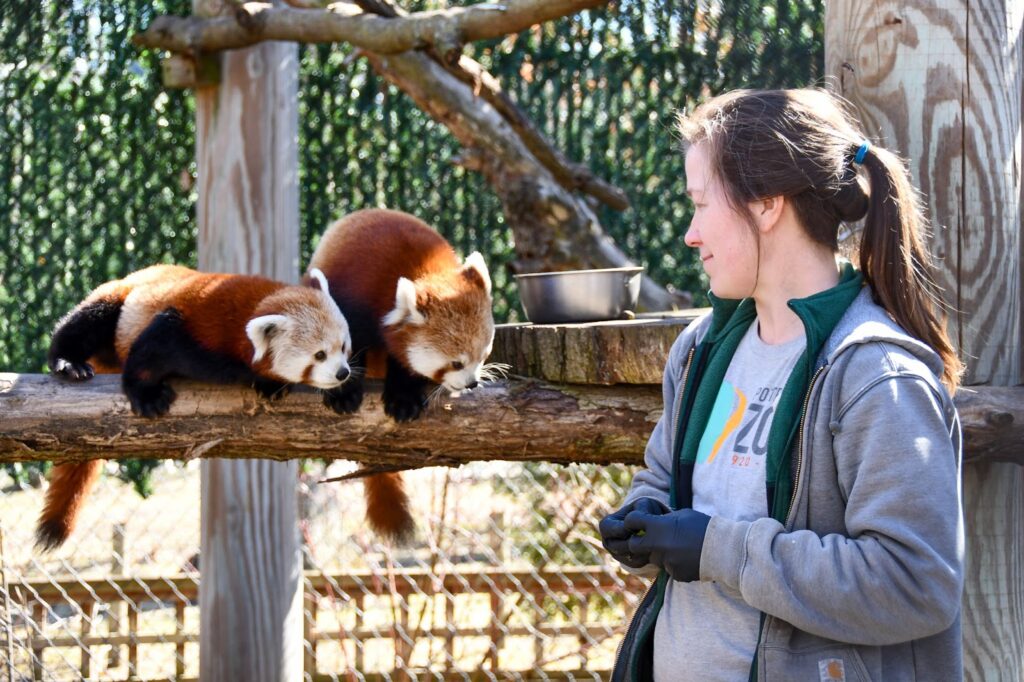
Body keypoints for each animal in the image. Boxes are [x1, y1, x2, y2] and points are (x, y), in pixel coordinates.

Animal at [37, 262, 352, 548]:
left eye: (343, 347)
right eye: (320, 355)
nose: (343, 373)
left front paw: (271, 384)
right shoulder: (191, 327)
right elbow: (149, 352)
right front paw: (145, 393)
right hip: (118, 299)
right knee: (86, 320)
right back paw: (68, 362)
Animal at [303, 206, 495, 540]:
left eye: (483, 356)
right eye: (456, 363)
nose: (471, 384)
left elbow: (406, 366)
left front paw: (404, 399)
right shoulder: (353, 294)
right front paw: (343, 392)